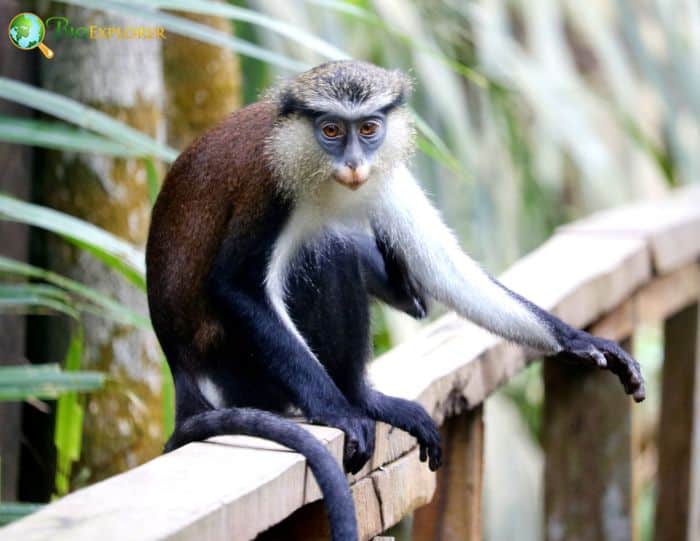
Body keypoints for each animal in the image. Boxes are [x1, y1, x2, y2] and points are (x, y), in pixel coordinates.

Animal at [146, 60, 645, 541]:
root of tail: (183, 372)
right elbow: (237, 286)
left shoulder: (384, 172)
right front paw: (339, 413)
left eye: (368, 128)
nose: (353, 163)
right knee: (328, 252)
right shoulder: (270, 189)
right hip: (240, 370)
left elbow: (444, 267)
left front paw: (578, 341)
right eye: (331, 130)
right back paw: (358, 400)